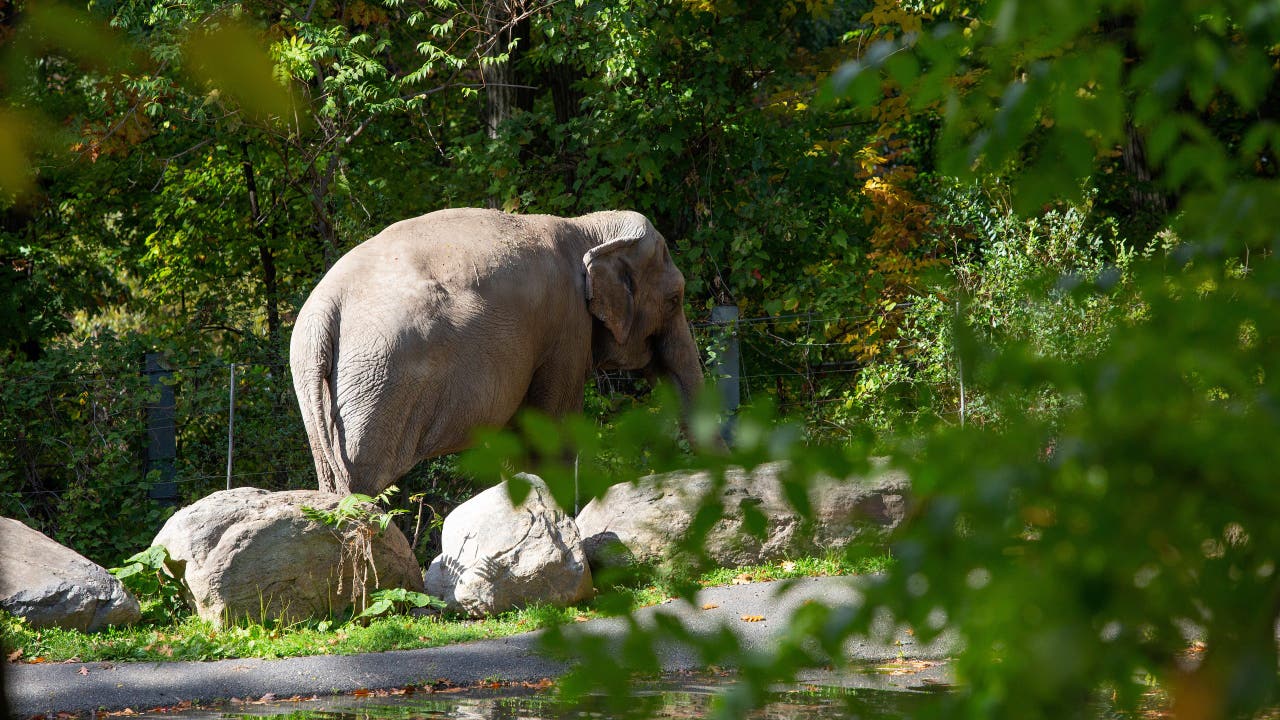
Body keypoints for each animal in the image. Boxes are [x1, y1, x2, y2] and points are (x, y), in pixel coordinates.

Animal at [289, 207, 707, 495]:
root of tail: (326, 309)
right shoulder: (566, 327)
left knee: (333, 479)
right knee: (366, 477)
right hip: (381, 377)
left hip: (318, 384)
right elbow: (552, 433)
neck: (587, 227)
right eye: (674, 300)